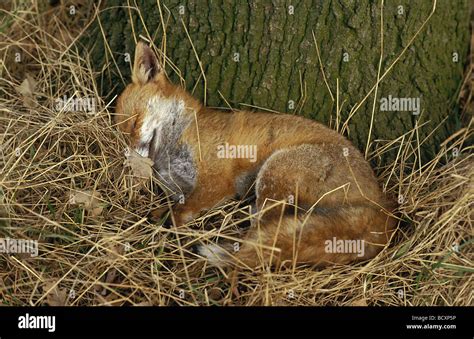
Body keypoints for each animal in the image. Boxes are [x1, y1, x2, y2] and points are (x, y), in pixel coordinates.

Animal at [115, 41, 396, 270]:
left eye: (134, 122)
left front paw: (168, 226)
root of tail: (382, 209)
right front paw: (156, 215)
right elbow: (171, 206)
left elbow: (180, 211)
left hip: (274, 173)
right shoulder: (180, 187)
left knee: (263, 239)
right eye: (122, 134)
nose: (131, 162)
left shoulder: (215, 181)